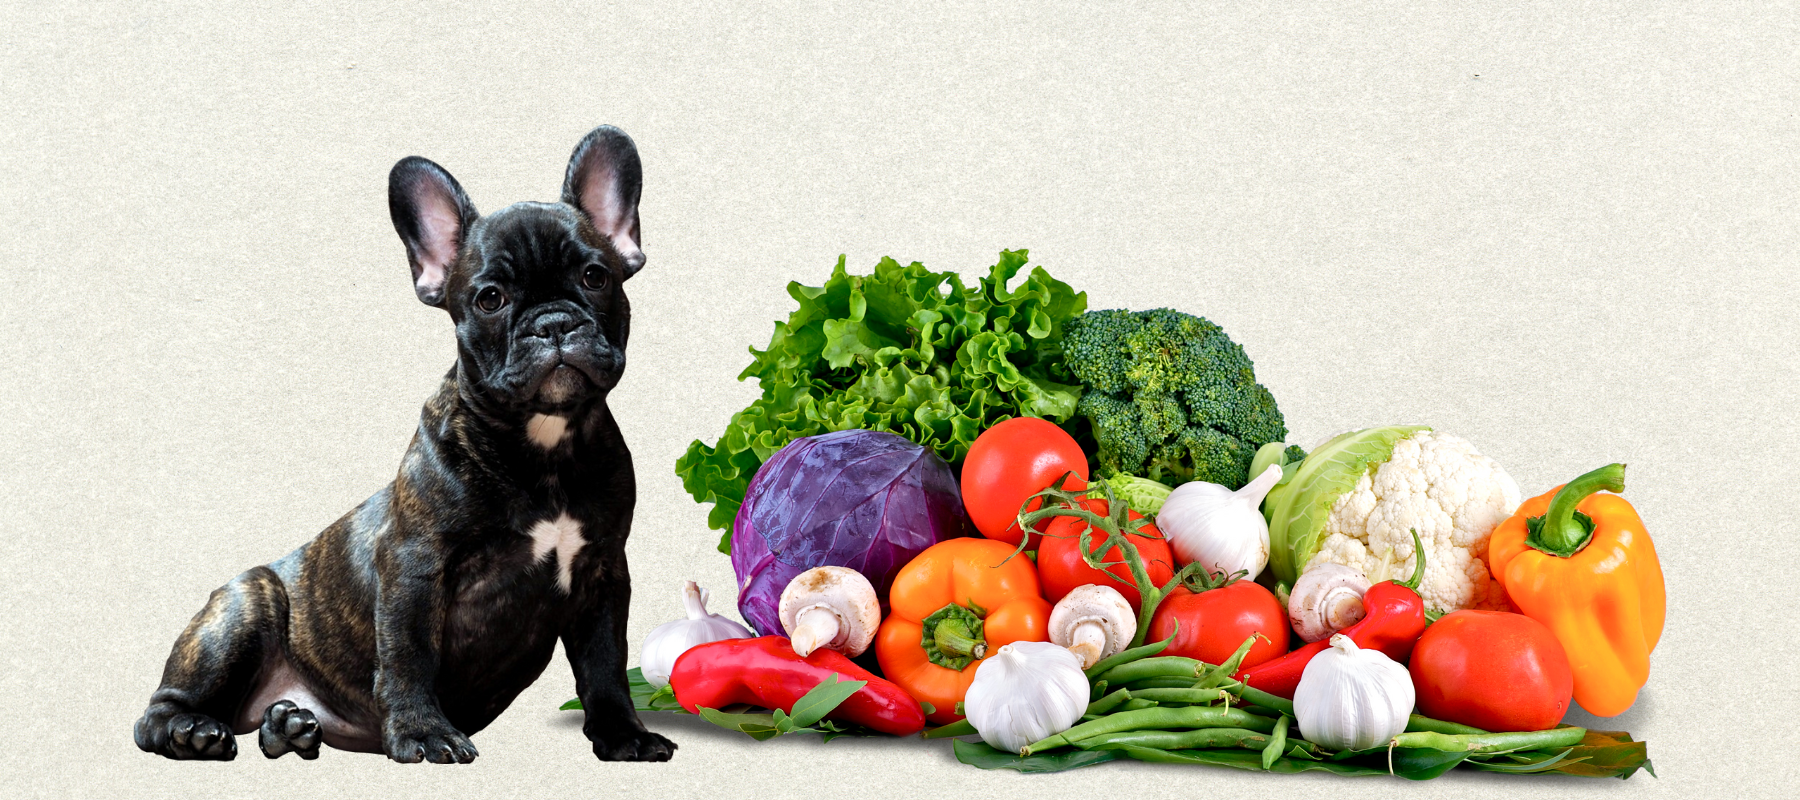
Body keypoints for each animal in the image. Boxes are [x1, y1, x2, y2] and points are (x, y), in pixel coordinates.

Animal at [130, 125, 673, 763]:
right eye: (490, 299)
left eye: (595, 277)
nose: (554, 323)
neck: (545, 447)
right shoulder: (415, 566)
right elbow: (409, 656)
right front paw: (422, 732)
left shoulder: (603, 574)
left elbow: (605, 664)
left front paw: (624, 735)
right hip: (243, 609)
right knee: (157, 713)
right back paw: (193, 731)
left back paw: (288, 725)